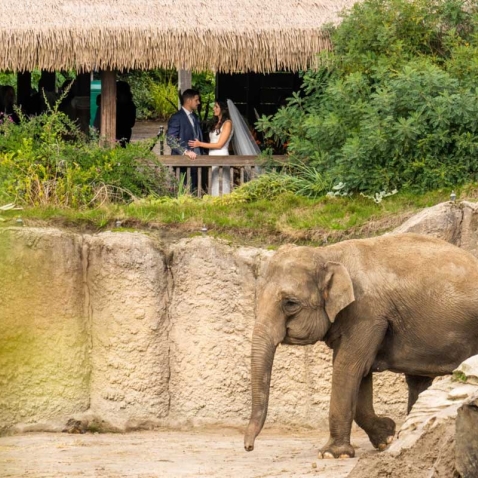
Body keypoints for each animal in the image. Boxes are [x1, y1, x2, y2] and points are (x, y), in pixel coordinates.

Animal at [245, 233, 478, 458]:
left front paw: (332, 454)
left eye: (290, 303)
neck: (328, 254)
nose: (248, 447)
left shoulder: (366, 313)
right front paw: (386, 438)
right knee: (417, 381)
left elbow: (347, 367)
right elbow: (360, 372)